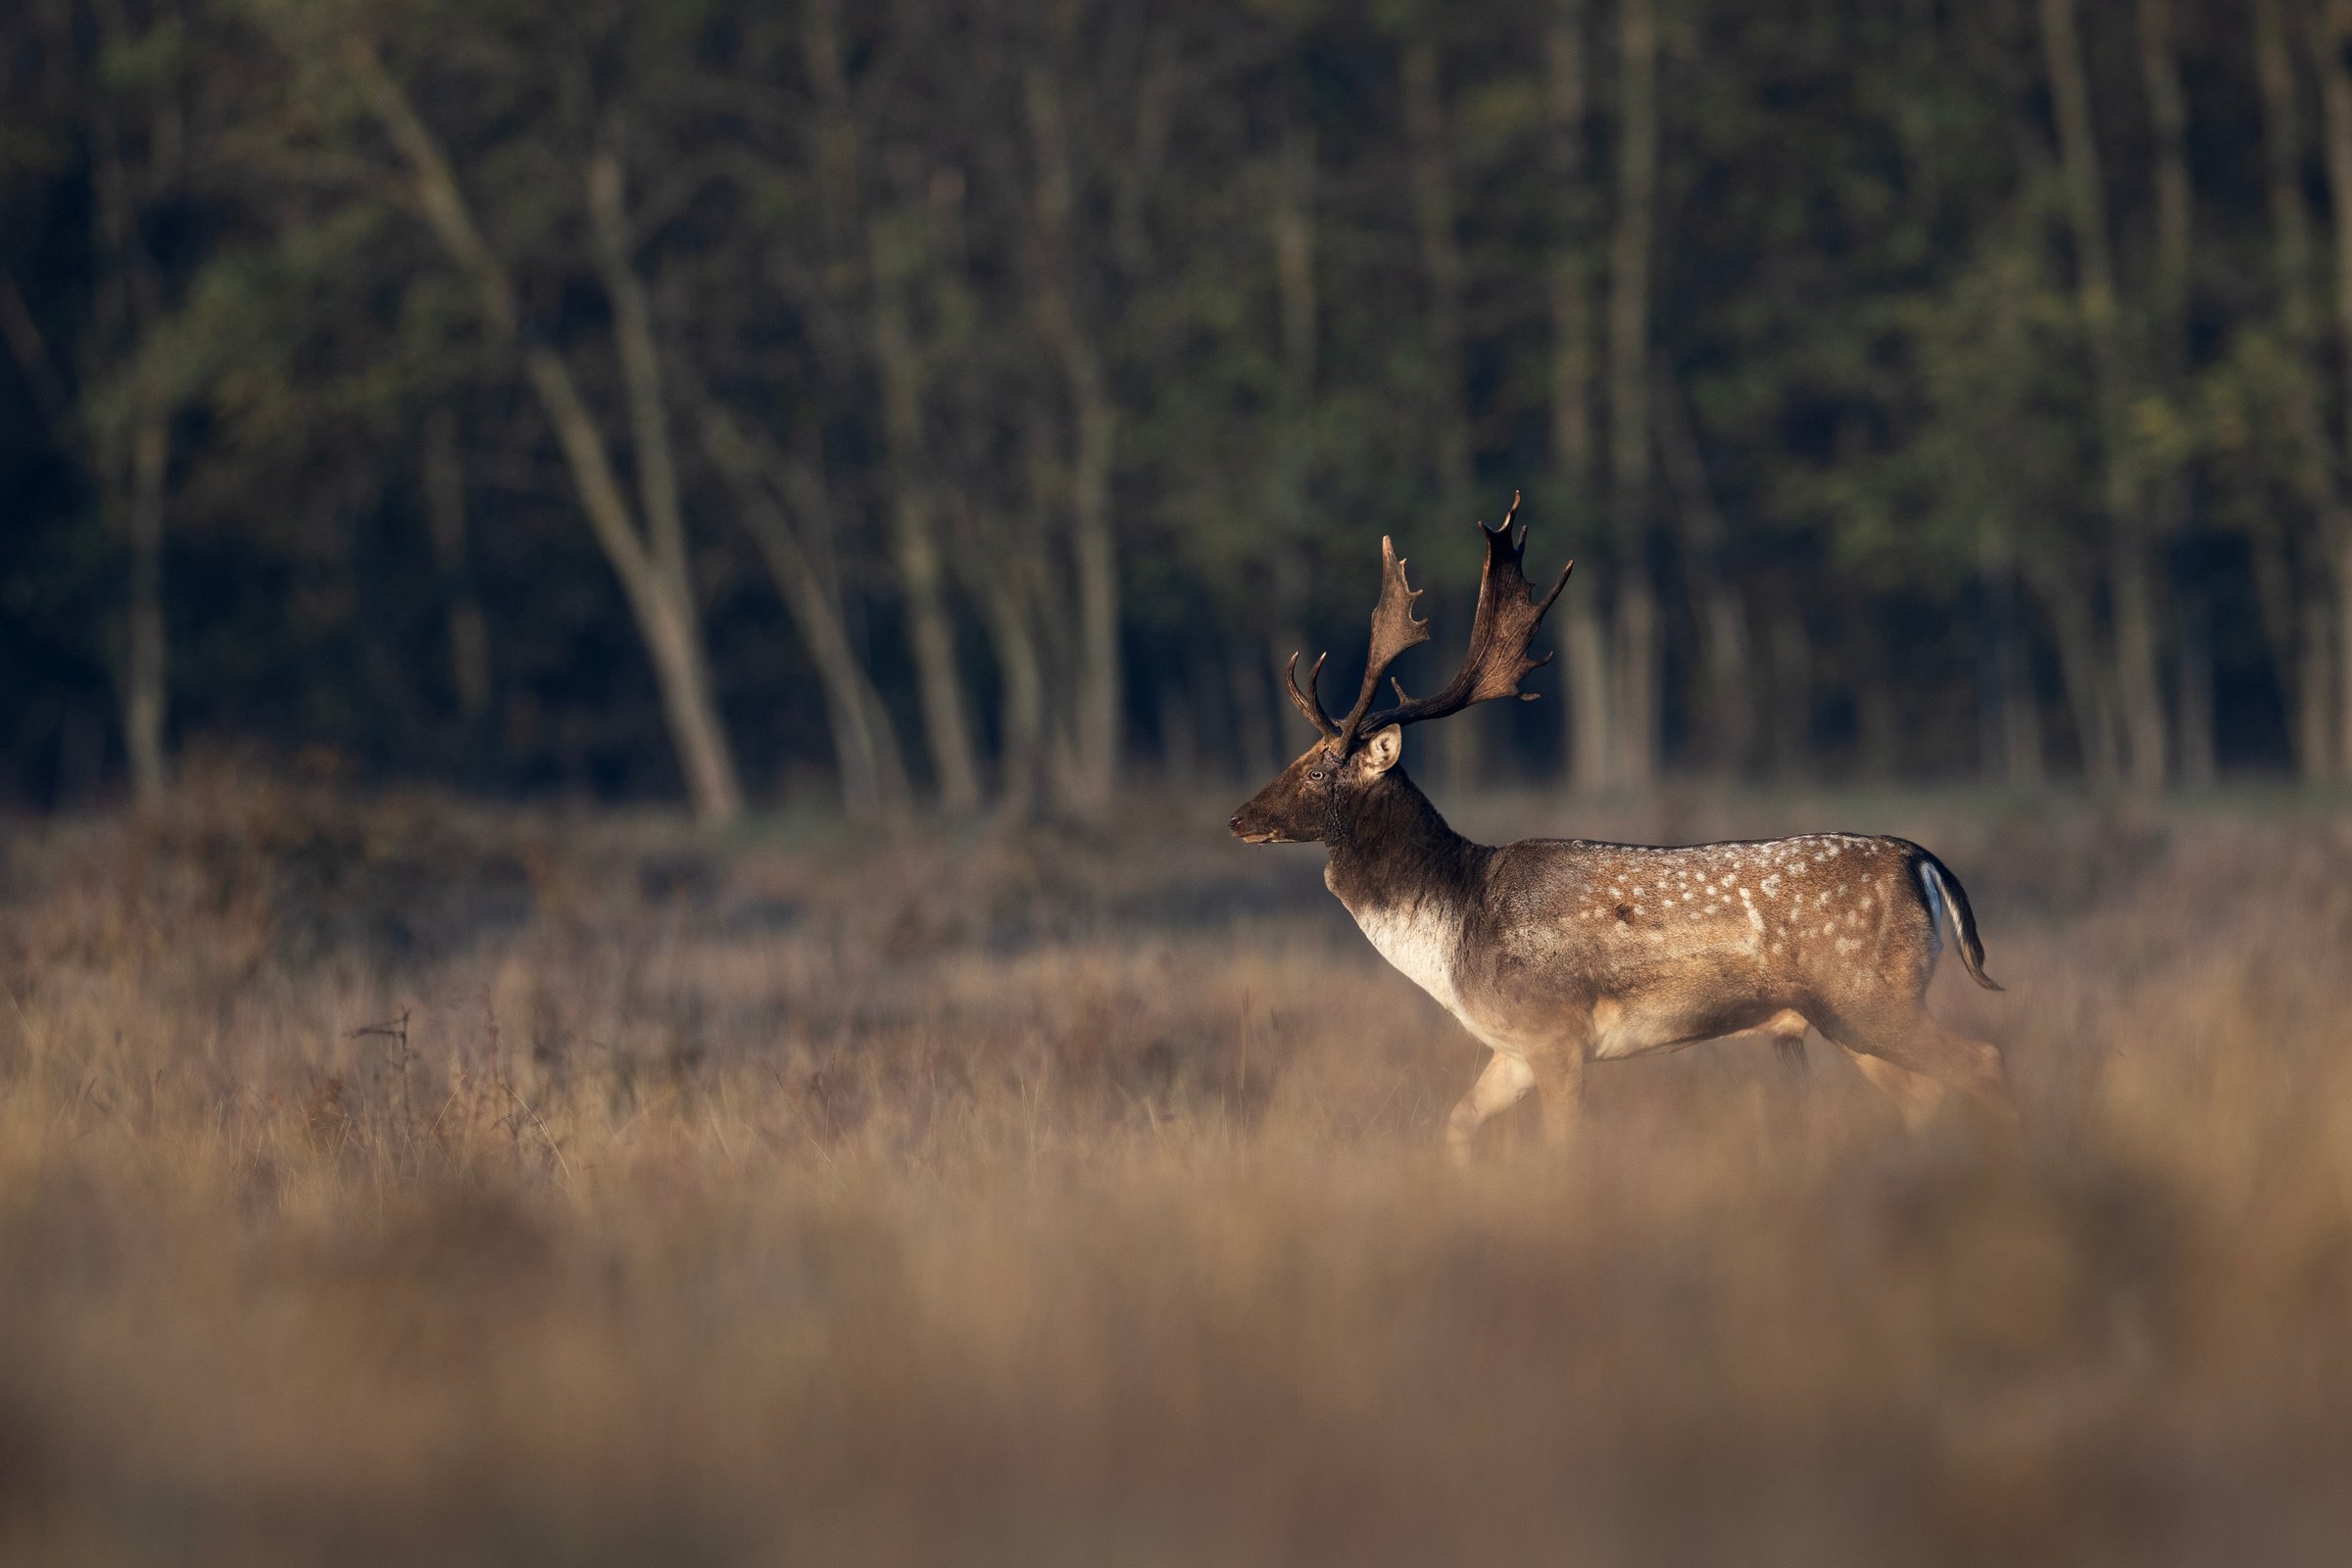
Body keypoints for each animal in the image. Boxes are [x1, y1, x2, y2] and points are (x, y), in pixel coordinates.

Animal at [1228, 497, 2014, 1160]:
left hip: (1869, 999)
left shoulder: (1553, 1034)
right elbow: (1455, 1125)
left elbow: (1564, 1146)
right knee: (1929, 1094)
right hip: (1849, 1018)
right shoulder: (1511, 1048)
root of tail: (1921, 861)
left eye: (1320, 770)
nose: (1239, 818)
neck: (1451, 935)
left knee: (1984, 1060)